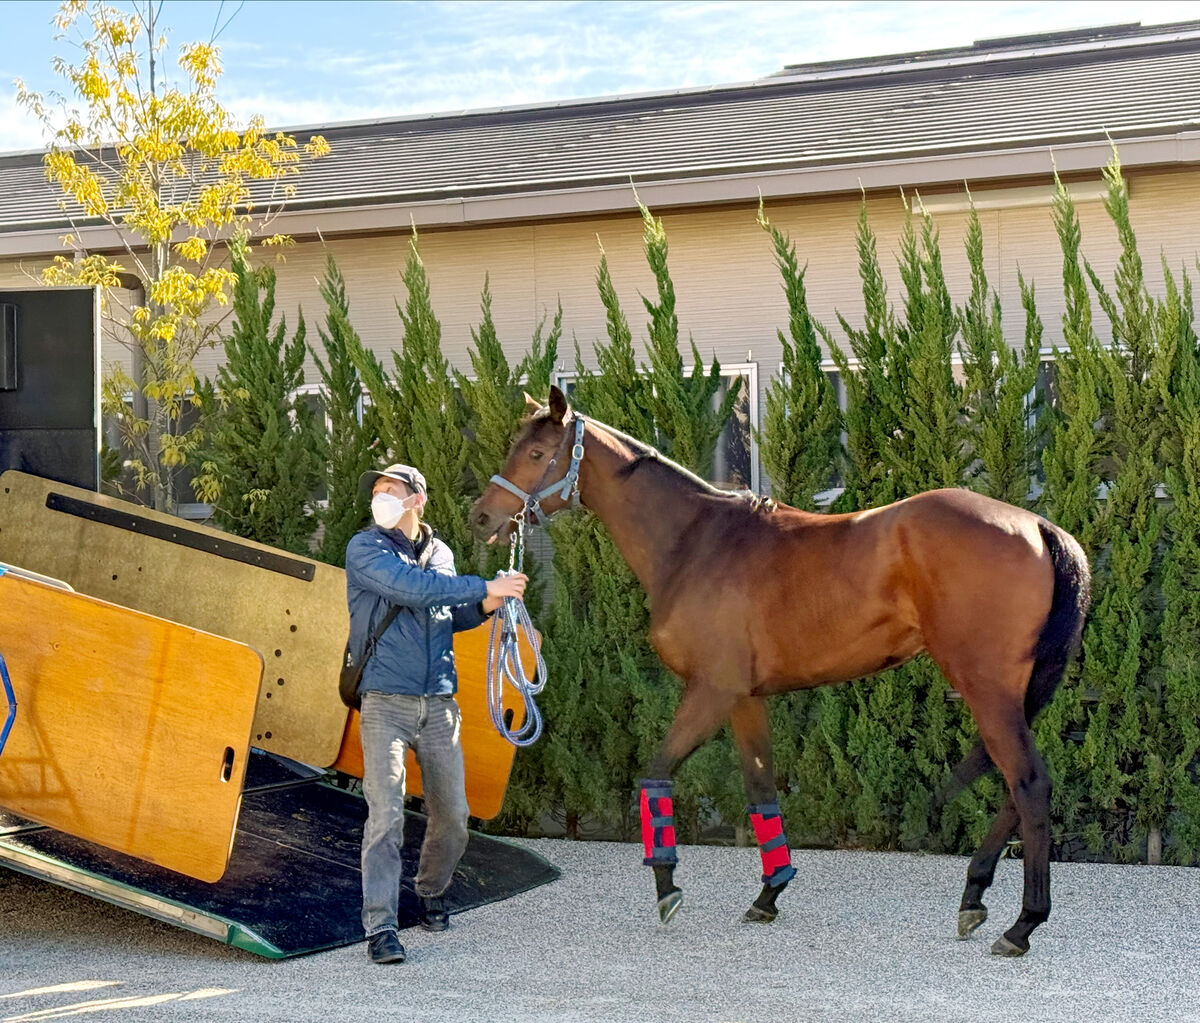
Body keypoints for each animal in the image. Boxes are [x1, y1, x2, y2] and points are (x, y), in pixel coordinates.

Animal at [468, 386, 1089, 960]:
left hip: (986, 688)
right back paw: (974, 898)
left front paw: (667, 887)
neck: (696, 541)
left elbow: (655, 776)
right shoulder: (745, 698)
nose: (482, 517)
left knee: (1029, 783)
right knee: (1016, 785)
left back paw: (1022, 924)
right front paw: (769, 893)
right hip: (1011, 694)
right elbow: (761, 789)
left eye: (537, 452)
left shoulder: (710, 692)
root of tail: (1038, 526)